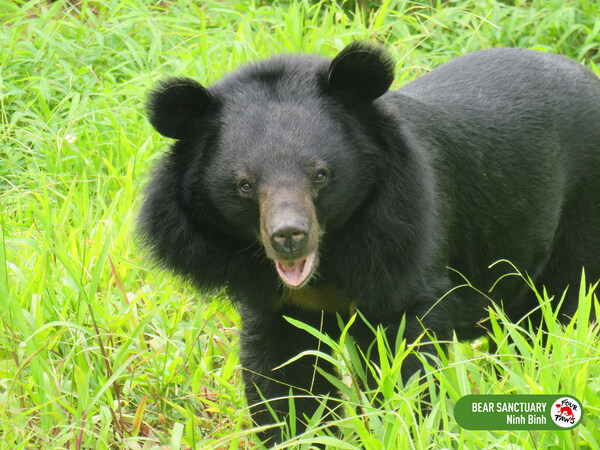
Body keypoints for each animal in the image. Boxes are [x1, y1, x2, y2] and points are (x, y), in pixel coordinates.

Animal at [141, 42, 600, 442]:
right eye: (245, 185)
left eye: (320, 175)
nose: (289, 237)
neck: (329, 261)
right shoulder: (277, 302)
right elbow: (285, 379)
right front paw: (298, 435)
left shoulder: (403, 246)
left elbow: (407, 364)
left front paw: (408, 425)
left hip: (580, 213)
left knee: (560, 313)